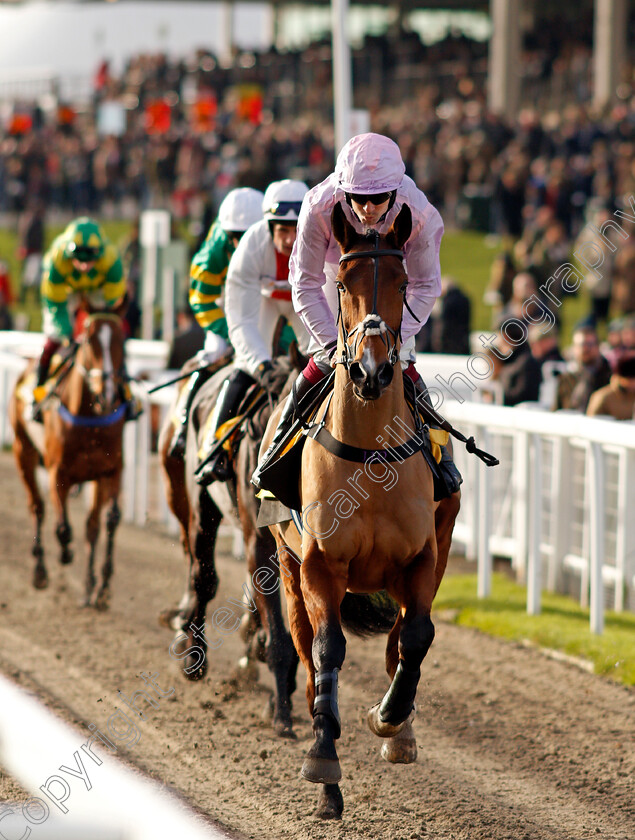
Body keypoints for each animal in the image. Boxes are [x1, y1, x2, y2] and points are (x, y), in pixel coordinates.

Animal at [9, 304, 130, 612]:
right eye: (88, 340)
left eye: (122, 339)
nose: (108, 394)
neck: (90, 418)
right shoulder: (58, 473)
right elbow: (63, 528)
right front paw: (65, 554)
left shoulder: (110, 471)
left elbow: (106, 522)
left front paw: (100, 587)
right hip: (22, 450)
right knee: (37, 507)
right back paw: (40, 570)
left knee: (90, 524)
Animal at [264, 203, 462, 820]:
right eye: (344, 281)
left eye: (400, 282)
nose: (372, 371)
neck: (372, 455)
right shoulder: (320, 565)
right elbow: (328, 651)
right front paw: (323, 764)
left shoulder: (423, 556)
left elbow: (416, 637)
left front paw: (392, 721)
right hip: (287, 569)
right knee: (307, 663)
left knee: (402, 637)